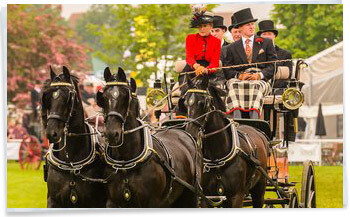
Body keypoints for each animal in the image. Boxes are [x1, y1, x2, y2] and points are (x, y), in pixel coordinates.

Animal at [40, 65, 105, 207]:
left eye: (67, 97)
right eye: (47, 97)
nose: (51, 133)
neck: (71, 162)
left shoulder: (93, 202)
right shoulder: (53, 200)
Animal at [95, 67, 201, 208]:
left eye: (125, 97)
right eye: (103, 98)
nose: (112, 133)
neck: (126, 163)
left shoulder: (151, 202)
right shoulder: (112, 202)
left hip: (190, 195)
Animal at [185, 76, 270, 209]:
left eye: (203, 102)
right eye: (185, 103)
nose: (190, 133)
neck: (217, 157)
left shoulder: (237, 197)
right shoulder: (207, 197)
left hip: (259, 189)